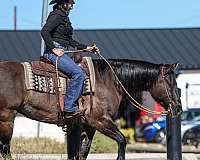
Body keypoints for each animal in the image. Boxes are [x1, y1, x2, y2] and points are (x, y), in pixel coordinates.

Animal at [0, 58, 183, 159]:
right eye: (170, 82)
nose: (178, 107)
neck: (108, 80)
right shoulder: (99, 120)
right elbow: (122, 140)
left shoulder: (87, 125)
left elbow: (83, 151)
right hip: (7, 117)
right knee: (5, 149)